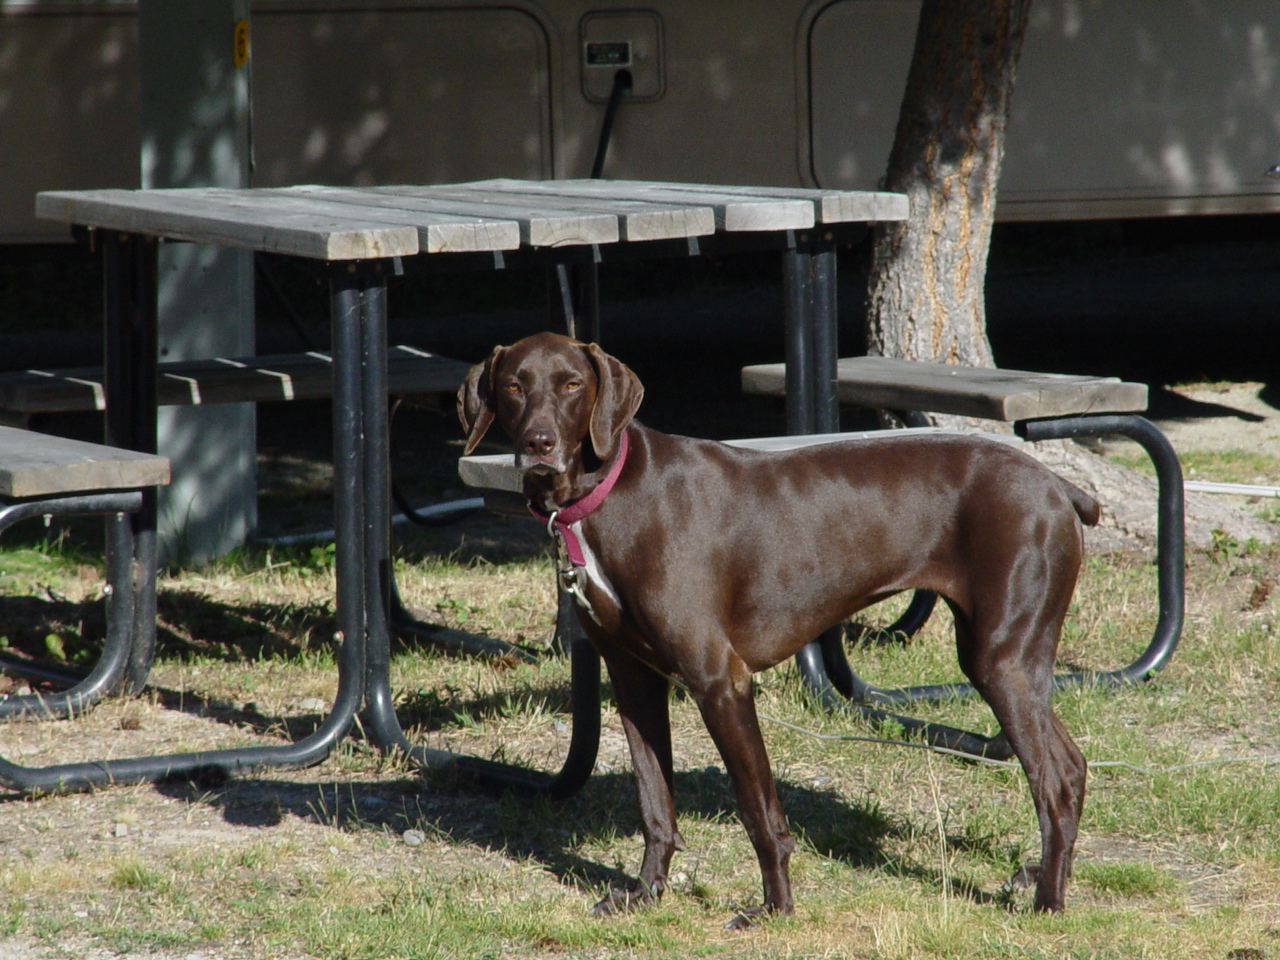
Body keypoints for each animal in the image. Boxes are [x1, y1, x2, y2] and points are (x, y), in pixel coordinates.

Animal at [455, 330, 1095, 926]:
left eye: (570, 384)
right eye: (514, 386)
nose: (538, 444)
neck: (606, 498)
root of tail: (1055, 485)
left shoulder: (721, 682)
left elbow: (758, 812)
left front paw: (776, 907)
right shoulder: (634, 679)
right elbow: (654, 801)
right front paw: (645, 894)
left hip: (1001, 660)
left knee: (1054, 781)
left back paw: (1048, 901)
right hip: (1011, 662)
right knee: (1072, 765)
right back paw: (1041, 877)